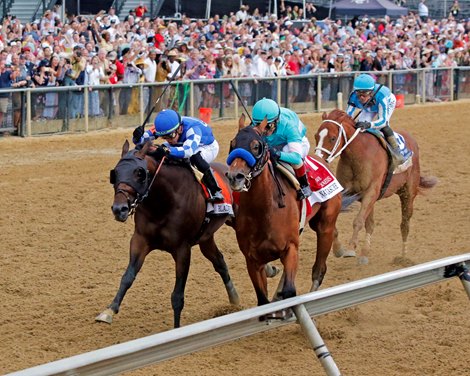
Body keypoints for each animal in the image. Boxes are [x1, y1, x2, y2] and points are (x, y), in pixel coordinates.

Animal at [97, 140, 241, 328]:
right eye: (116, 172)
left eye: (139, 173)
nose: (119, 209)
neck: (163, 202)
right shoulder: (140, 240)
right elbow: (127, 277)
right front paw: (109, 310)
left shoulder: (182, 249)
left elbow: (177, 296)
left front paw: (177, 328)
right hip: (206, 238)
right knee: (220, 262)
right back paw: (234, 299)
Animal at [225, 115, 342, 308]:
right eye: (233, 144)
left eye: (256, 146)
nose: (235, 177)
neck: (263, 211)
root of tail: (321, 159)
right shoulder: (252, 259)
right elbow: (263, 300)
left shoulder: (290, 248)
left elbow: (290, 291)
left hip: (325, 225)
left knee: (319, 269)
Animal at [314, 109, 438, 264]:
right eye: (316, 136)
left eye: (332, 138)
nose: (318, 159)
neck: (358, 155)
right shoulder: (349, 193)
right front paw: (338, 249)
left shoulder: (371, 192)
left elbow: (358, 221)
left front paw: (350, 248)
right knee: (371, 224)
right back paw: (365, 253)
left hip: (408, 193)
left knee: (404, 224)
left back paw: (403, 257)